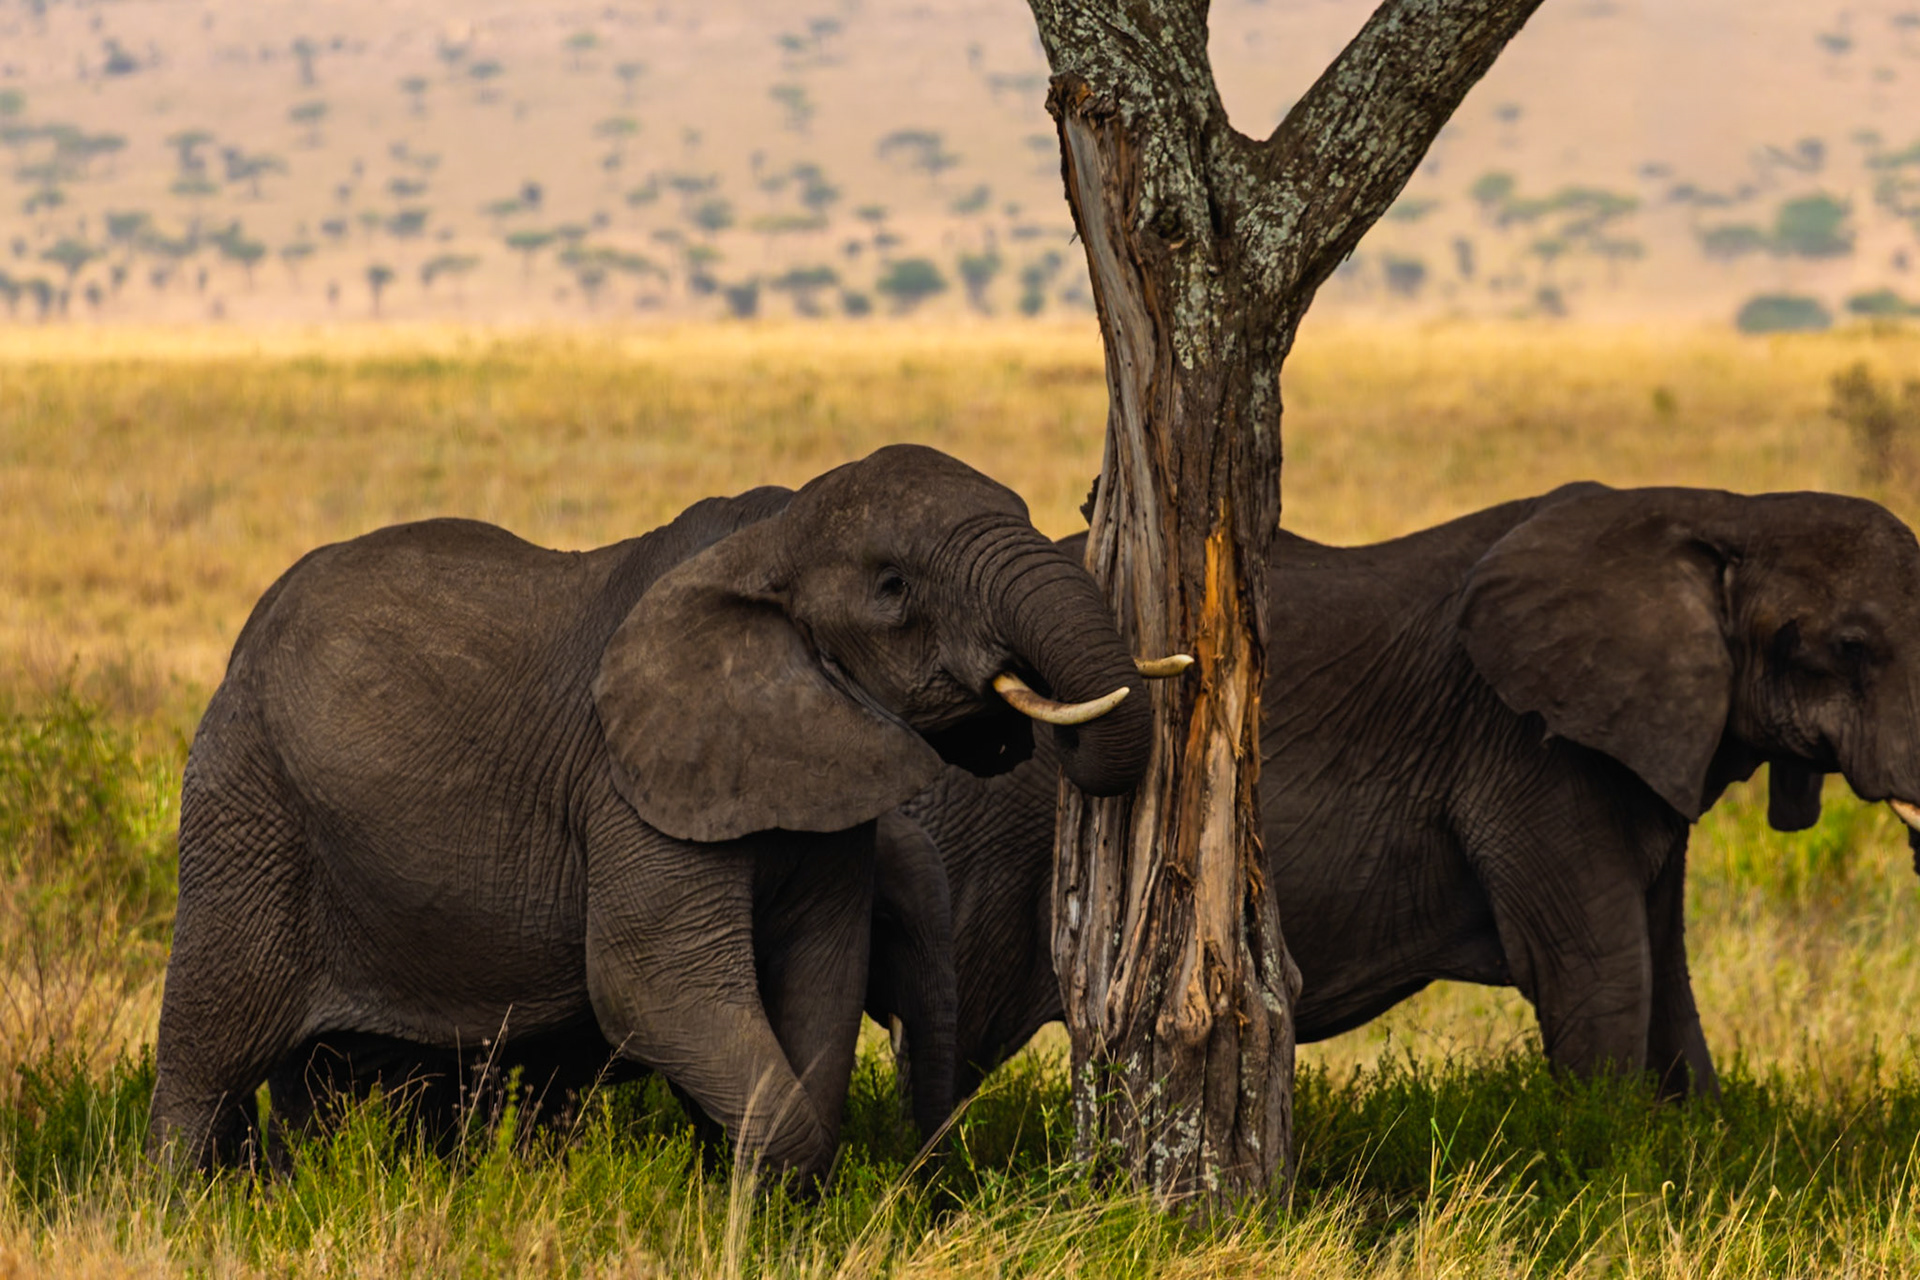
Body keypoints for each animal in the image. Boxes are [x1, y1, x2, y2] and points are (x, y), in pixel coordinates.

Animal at [150, 444, 1160, 1180]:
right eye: (893, 588)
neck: (769, 543)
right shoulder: (628, 784)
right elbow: (654, 984)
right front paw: (759, 1204)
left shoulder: (823, 789)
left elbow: (819, 985)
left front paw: (768, 1210)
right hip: (247, 804)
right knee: (211, 1044)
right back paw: (187, 1210)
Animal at [874, 482, 1920, 1105]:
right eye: (1849, 646)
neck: (1723, 508)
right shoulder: (1530, 753)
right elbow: (1603, 971)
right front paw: (1611, 1160)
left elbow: (1667, 973)